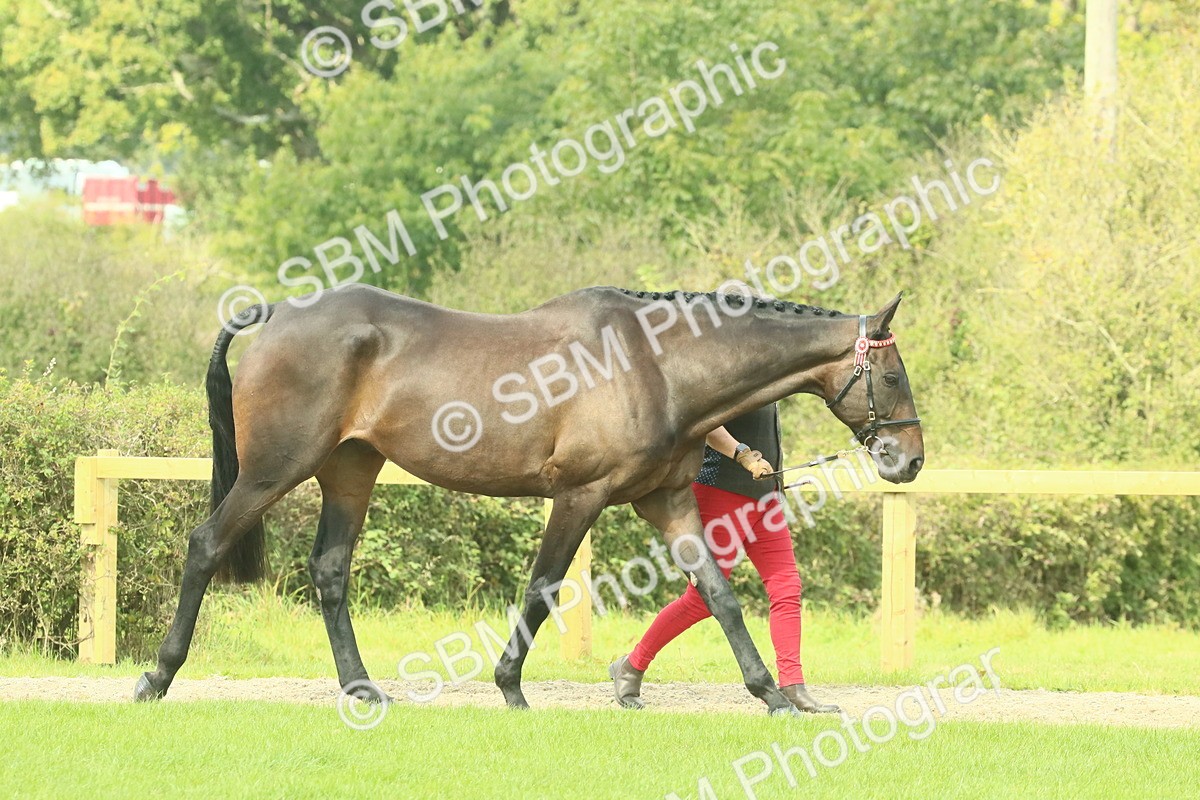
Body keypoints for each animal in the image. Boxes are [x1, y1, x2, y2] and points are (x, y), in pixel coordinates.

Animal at [134, 284, 923, 716]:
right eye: (891, 376)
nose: (909, 459)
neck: (655, 364)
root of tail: (274, 317)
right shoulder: (580, 496)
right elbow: (543, 587)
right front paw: (510, 686)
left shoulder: (666, 500)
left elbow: (720, 595)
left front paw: (772, 695)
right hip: (273, 471)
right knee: (206, 546)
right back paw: (157, 676)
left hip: (350, 472)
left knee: (329, 571)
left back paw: (361, 688)